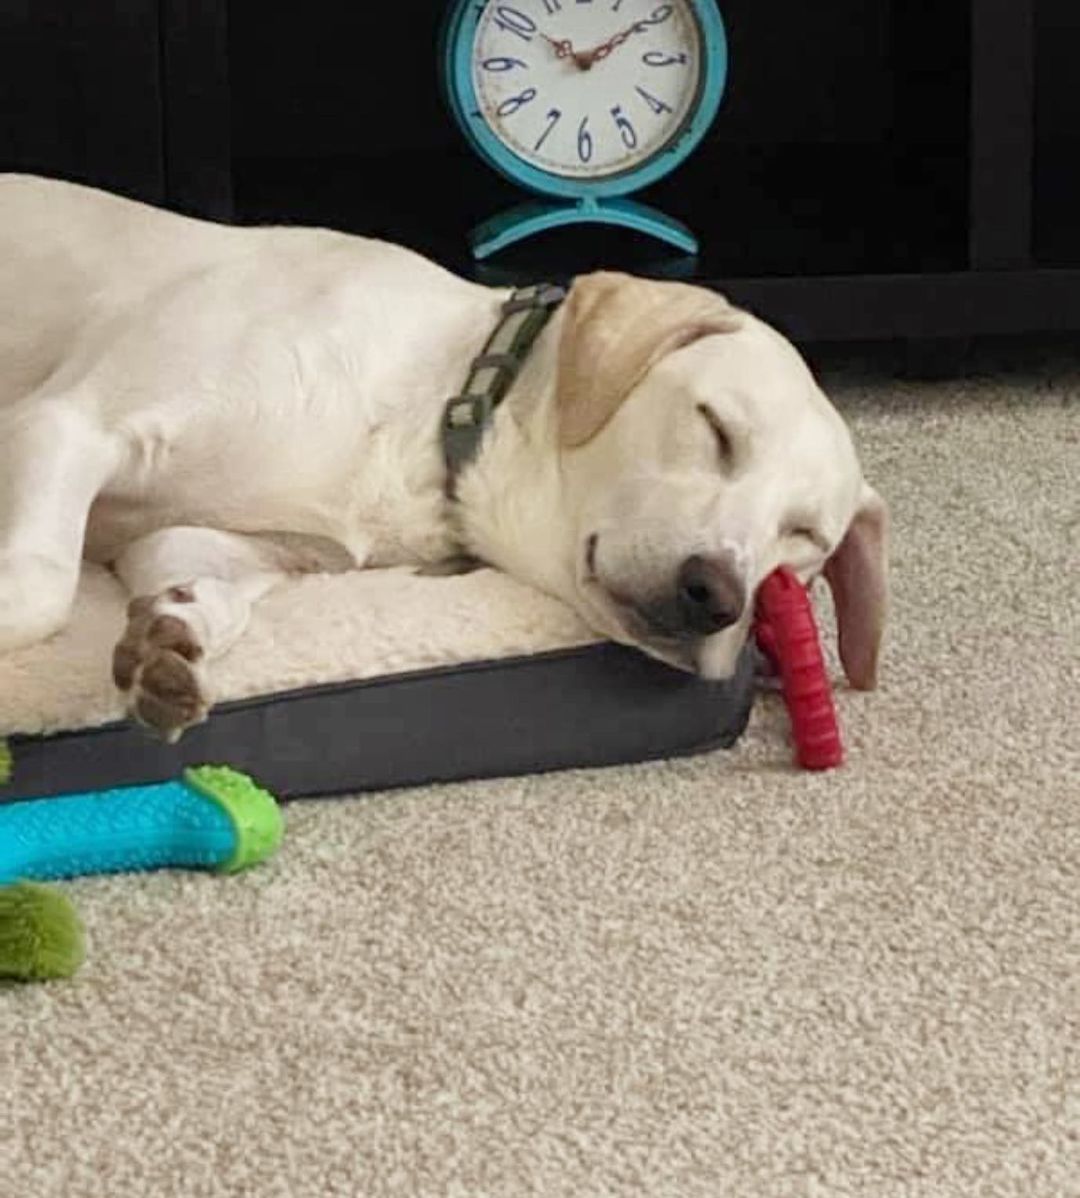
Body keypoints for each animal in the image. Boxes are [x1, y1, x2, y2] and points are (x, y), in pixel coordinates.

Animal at [0, 174, 886, 737]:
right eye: (715, 427)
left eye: (805, 539)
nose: (716, 598)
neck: (429, 410)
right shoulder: (67, 423)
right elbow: (43, 590)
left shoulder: (204, 537)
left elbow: (213, 588)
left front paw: (172, 635)